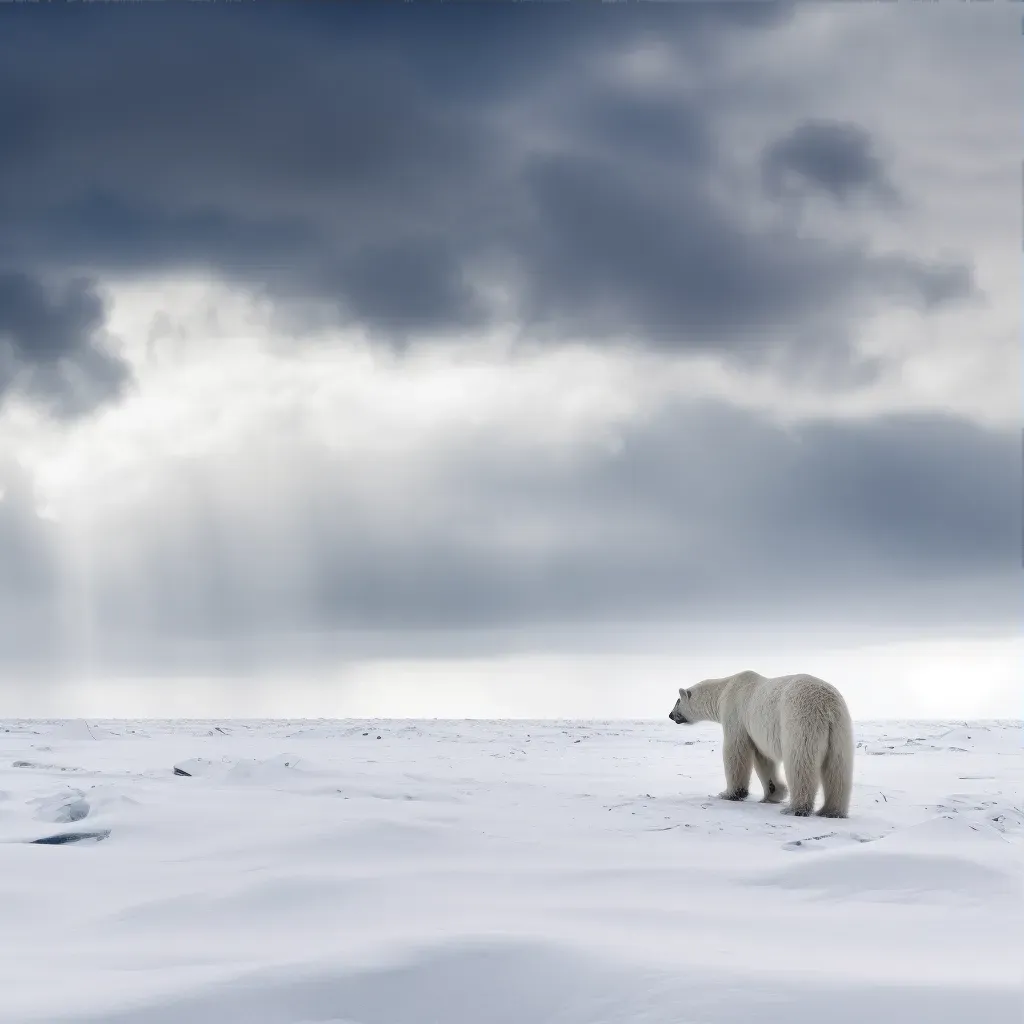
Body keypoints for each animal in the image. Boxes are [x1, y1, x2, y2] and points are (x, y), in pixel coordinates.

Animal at [671, 667, 856, 819]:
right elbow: (764, 759)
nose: (670, 715)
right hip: (840, 729)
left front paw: (729, 794)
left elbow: (735, 751)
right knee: (838, 767)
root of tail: (826, 705)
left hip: (800, 719)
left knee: (800, 762)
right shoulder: (758, 733)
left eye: (677, 701)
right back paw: (831, 811)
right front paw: (773, 793)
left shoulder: (735, 714)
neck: (724, 689)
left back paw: (796, 808)